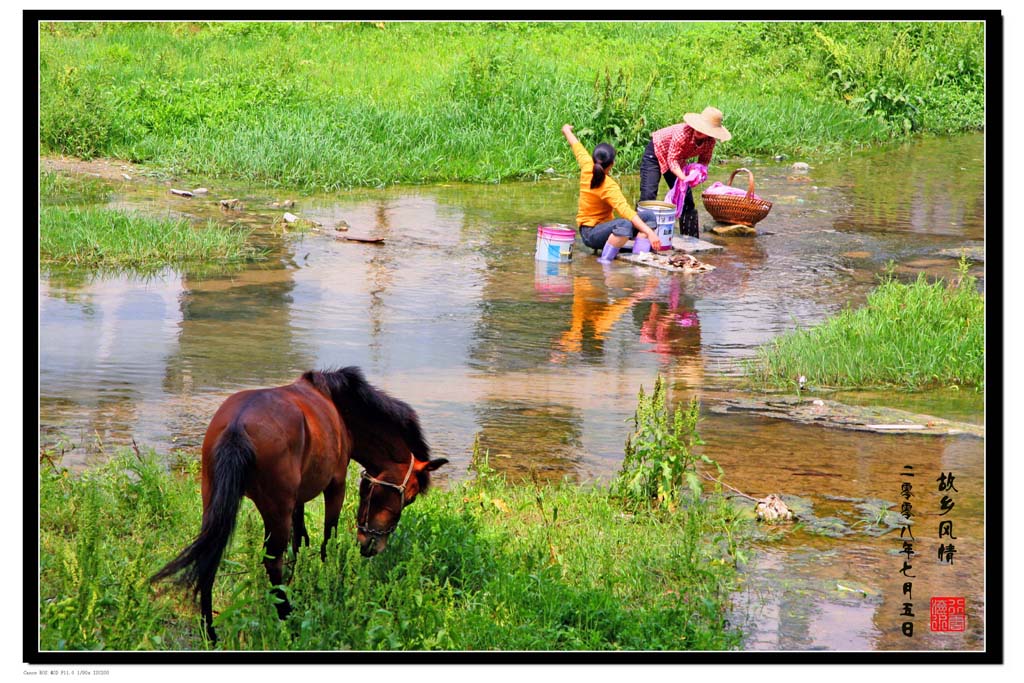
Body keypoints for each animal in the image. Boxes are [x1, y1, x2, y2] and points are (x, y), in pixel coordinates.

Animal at [149, 366, 446, 643]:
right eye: (409, 496)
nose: (371, 545)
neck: (339, 409)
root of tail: (237, 426)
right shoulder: (336, 484)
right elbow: (328, 537)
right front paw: (329, 577)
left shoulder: (298, 499)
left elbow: (299, 537)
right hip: (275, 510)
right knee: (271, 561)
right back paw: (285, 615)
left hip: (214, 500)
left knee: (210, 559)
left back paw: (209, 629)